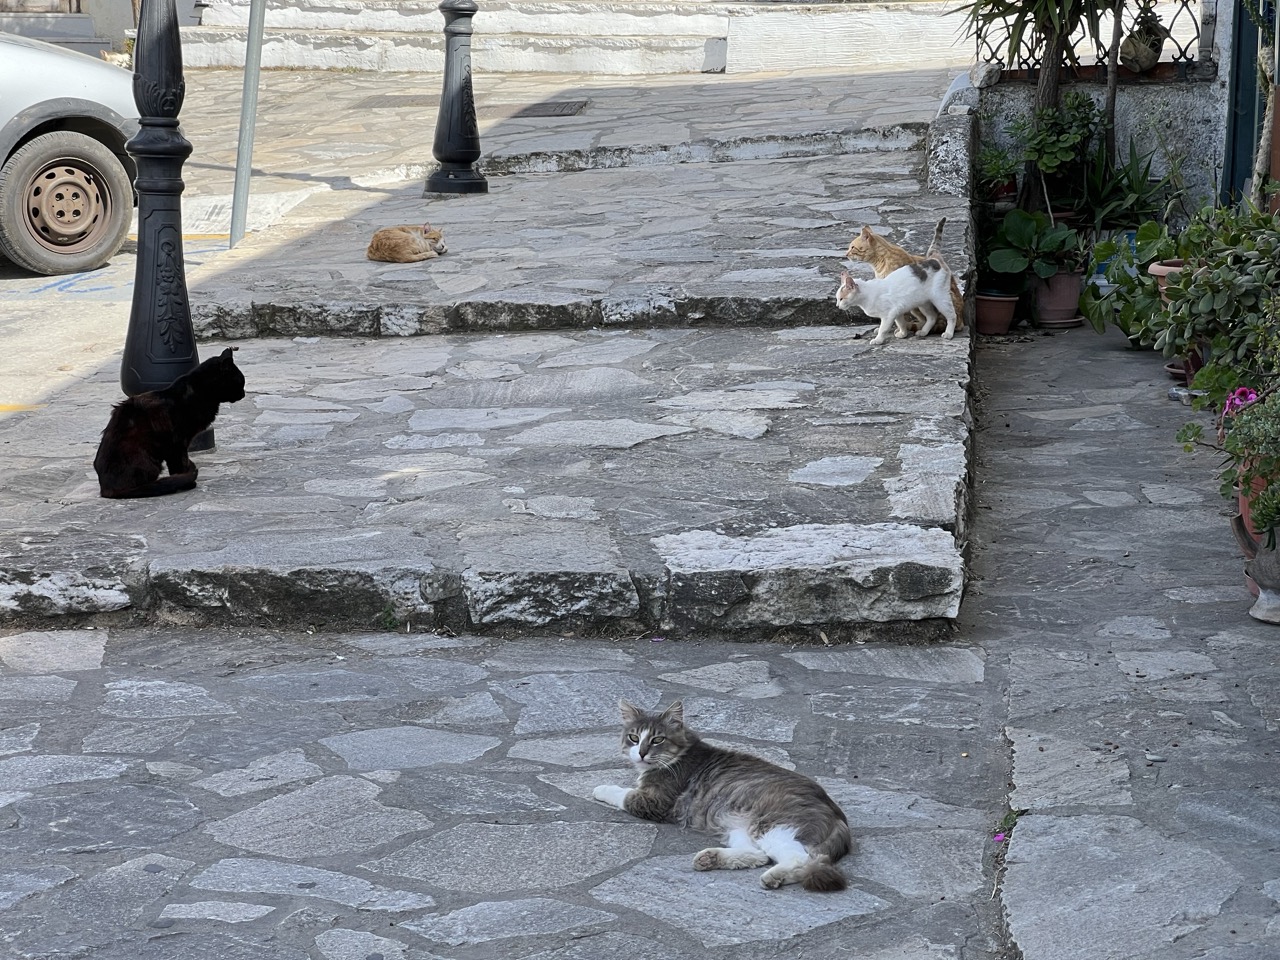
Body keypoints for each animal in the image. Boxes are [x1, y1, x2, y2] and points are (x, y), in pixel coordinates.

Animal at [93, 348, 245, 499]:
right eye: (240, 382)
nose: (243, 394)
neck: (198, 392)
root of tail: (107, 489)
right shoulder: (177, 444)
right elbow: (179, 464)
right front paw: (185, 482)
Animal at [593, 701, 855, 896]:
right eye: (633, 738)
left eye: (657, 739)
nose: (641, 753)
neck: (682, 754)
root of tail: (838, 816)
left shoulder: (655, 801)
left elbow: (624, 794)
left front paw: (601, 788)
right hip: (736, 826)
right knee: (759, 855)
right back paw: (709, 858)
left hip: (773, 826)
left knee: (799, 860)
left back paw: (773, 877)